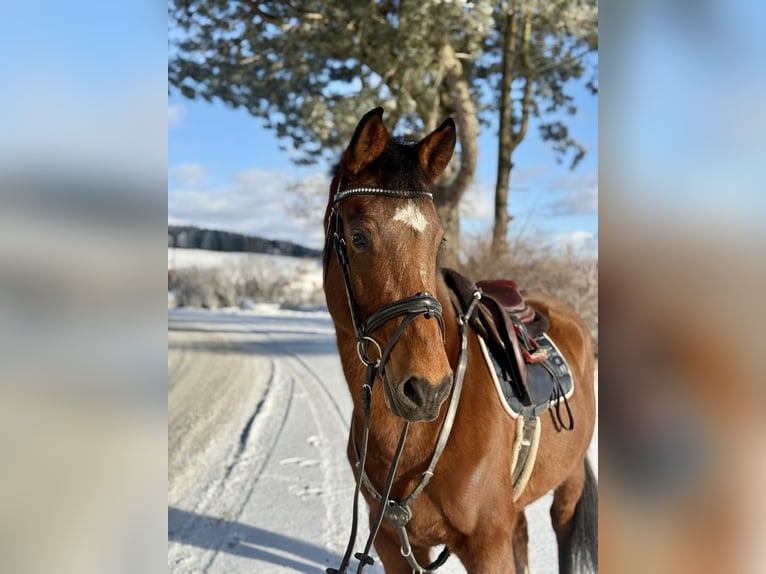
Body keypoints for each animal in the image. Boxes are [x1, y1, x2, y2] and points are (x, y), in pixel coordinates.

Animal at [322, 107, 597, 574]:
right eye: (358, 237)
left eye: (439, 241)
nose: (428, 388)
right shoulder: (393, 546)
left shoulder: (487, 547)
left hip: (569, 482)